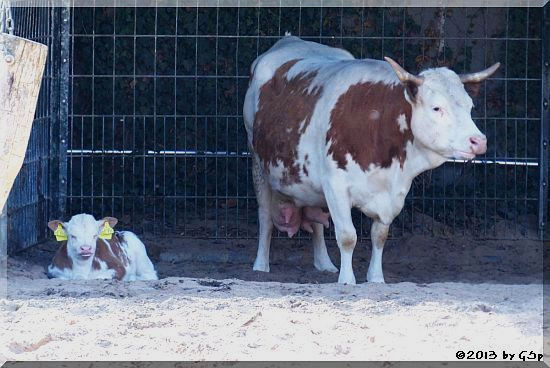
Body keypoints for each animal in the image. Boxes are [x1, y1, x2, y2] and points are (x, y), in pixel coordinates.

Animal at [244, 35, 498, 284]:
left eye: (470, 106)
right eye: (437, 108)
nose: (479, 141)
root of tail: (289, 40)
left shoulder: (393, 193)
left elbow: (379, 236)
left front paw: (376, 278)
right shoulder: (335, 185)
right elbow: (348, 236)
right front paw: (347, 280)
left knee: (316, 224)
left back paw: (324, 264)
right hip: (258, 164)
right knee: (265, 217)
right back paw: (260, 265)